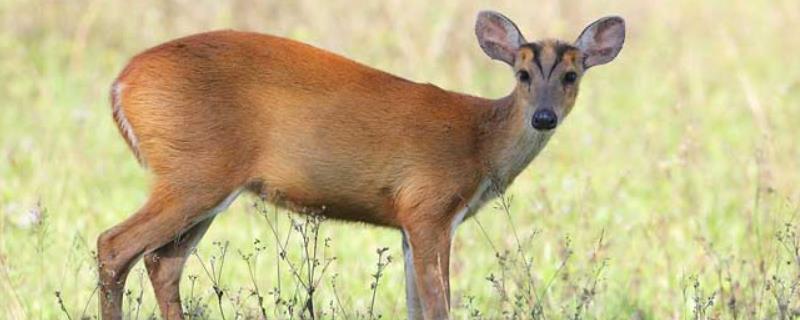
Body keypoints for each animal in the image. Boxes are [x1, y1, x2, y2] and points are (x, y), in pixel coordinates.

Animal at [98, 10, 624, 320]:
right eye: (522, 73)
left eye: (572, 75)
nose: (543, 117)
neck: (479, 141)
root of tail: (121, 84)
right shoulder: (429, 206)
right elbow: (438, 306)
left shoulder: (411, 223)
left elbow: (417, 307)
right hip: (194, 173)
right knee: (115, 245)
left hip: (204, 183)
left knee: (162, 262)